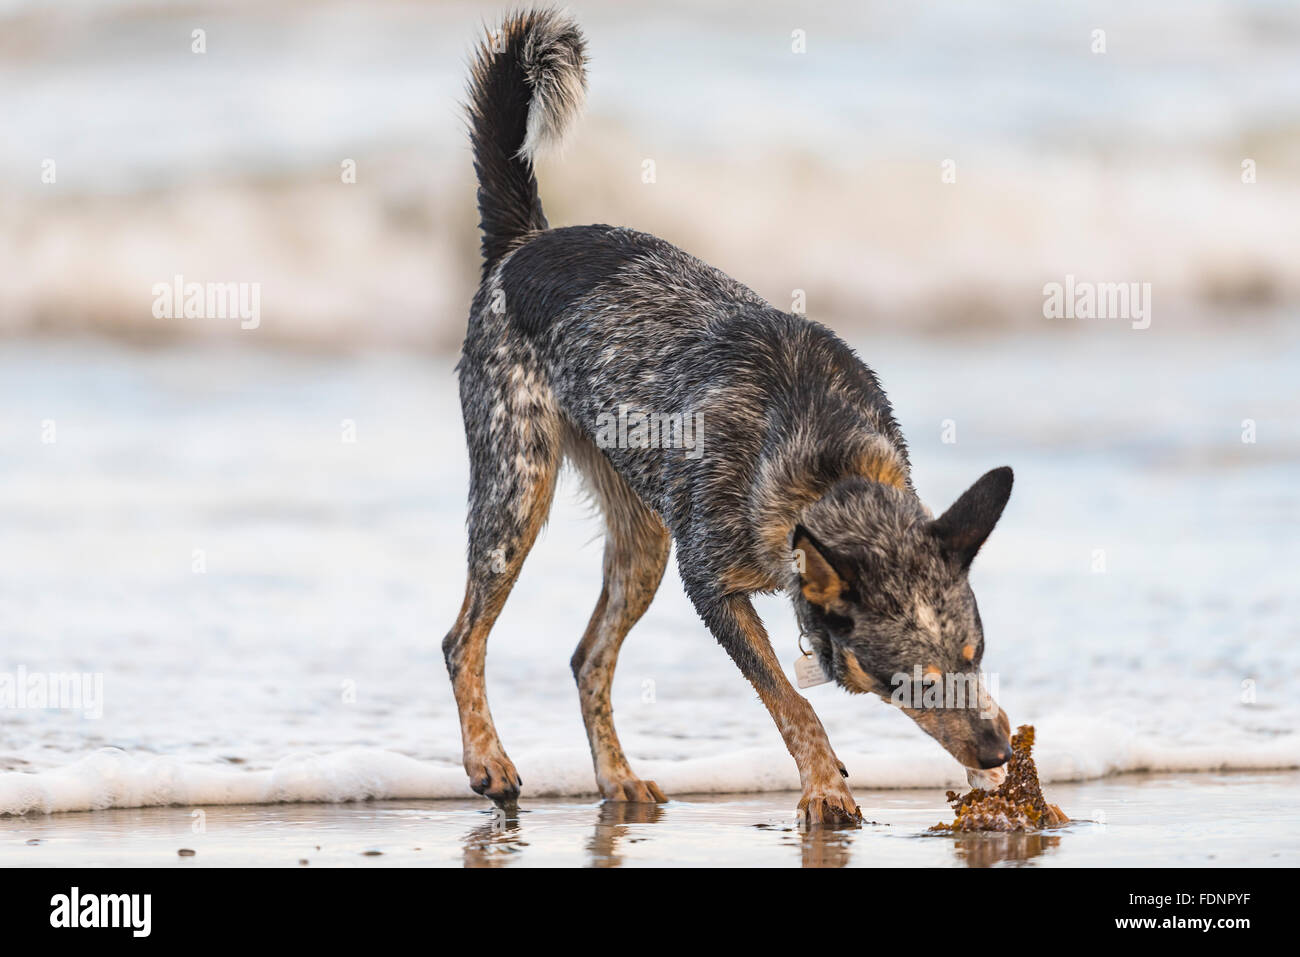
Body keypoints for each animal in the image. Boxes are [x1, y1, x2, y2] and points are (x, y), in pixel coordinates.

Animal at [447, 7, 1013, 826]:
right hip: (515, 493)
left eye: (976, 657)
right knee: (464, 638)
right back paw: (487, 759)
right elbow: (789, 699)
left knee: (588, 657)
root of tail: (524, 241)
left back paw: (618, 778)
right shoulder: (709, 583)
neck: (822, 461)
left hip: (643, 540)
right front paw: (825, 784)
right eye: (912, 682)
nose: (1000, 751)